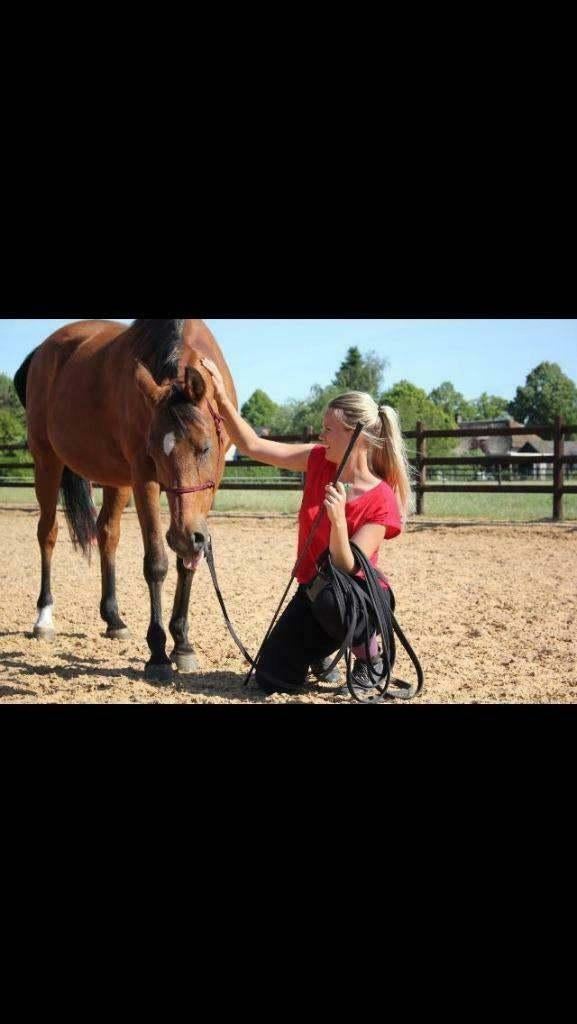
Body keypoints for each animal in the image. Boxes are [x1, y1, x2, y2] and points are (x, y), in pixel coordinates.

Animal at [14, 318, 237, 683]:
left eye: (205, 447)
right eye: (155, 453)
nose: (182, 536)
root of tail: (44, 350)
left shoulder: (207, 491)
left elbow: (187, 562)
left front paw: (183, 644)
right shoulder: (143, 478)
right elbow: (156, 563)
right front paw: (158, 653)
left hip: (114, 478)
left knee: (107, 533)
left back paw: (114, 619)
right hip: (46, 461)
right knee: (47, 533)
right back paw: (44, 618)